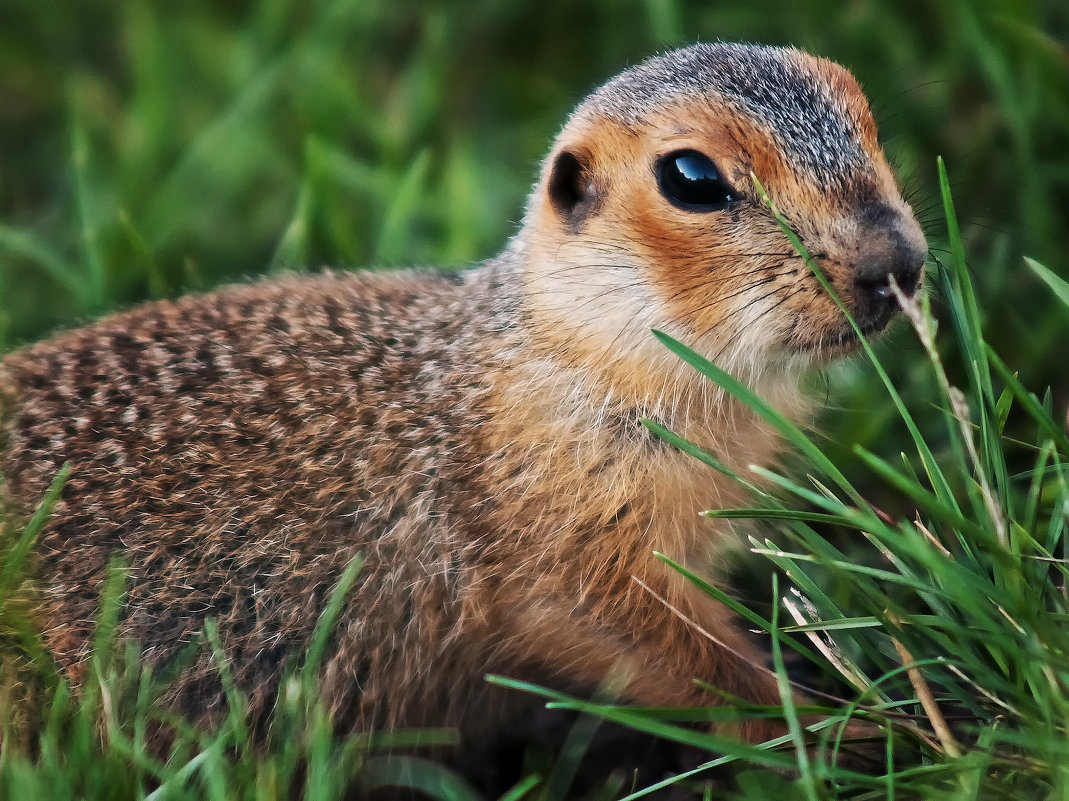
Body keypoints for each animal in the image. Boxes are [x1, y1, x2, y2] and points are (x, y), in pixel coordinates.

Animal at [0, 42, 923, 744]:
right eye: (691, 177)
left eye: (867, 118)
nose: (896, 261)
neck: (561, 348)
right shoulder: (558, 538)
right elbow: (653, 645)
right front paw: (846, 733)